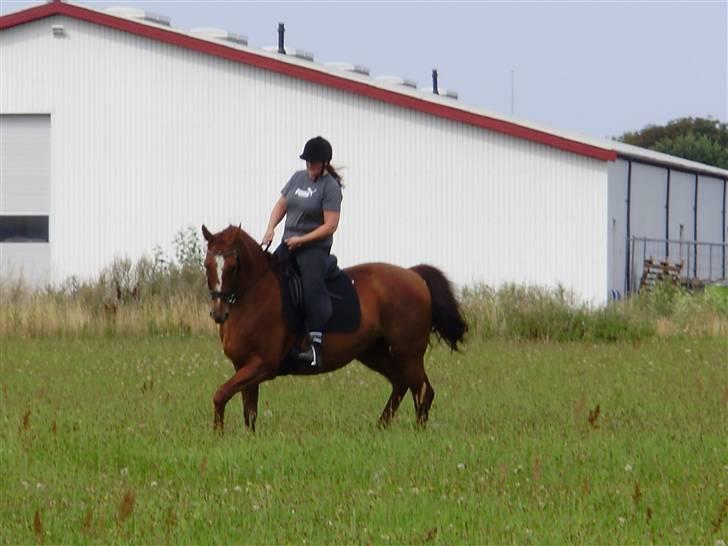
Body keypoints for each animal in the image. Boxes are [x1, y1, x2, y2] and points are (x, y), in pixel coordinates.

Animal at [202, 222, 470, 430]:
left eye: (233, 266)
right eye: (207, 265)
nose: (218, 313)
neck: (253, 295)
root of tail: (414, 276)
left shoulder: (263, 365)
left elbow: (220, 394)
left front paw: (218, 435)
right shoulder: (243, 365)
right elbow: (249, 412)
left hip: (408, 353)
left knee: (423, 390)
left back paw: (416, 433)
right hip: (375, 353)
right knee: (402, 384)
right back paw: (380, 428)